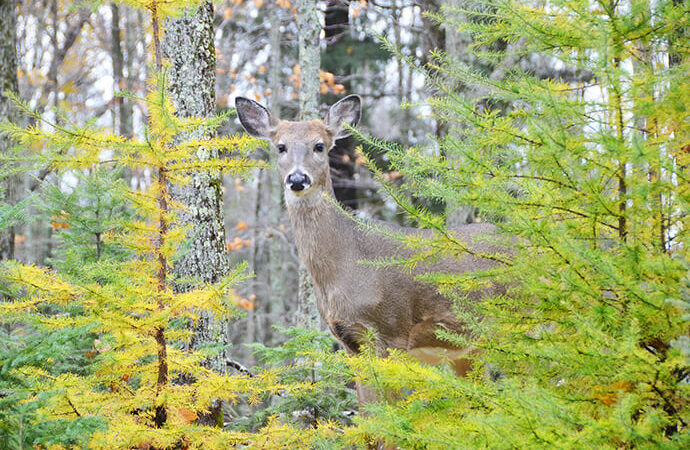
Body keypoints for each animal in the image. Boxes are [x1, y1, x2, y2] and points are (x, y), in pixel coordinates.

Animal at [236, 93, 506, 400]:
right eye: (281, 146)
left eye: (319, 146)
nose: (297, 179)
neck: (346, 262)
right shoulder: (350, 341)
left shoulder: (392, 331)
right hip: (469, 350)